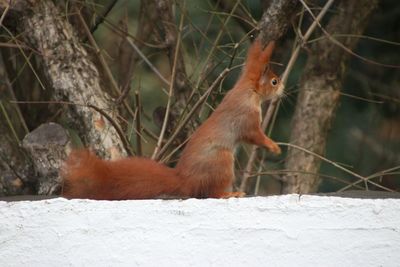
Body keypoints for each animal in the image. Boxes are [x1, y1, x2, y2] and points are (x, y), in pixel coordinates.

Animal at [61, 38, 282, 200]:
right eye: (274, 81)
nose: (283, 89)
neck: (248, 90)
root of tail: (186, 181)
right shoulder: (247, 117)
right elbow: (255, 136)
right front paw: (274, 147)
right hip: (222, 160)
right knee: (212, 193)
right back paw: (231, 193)